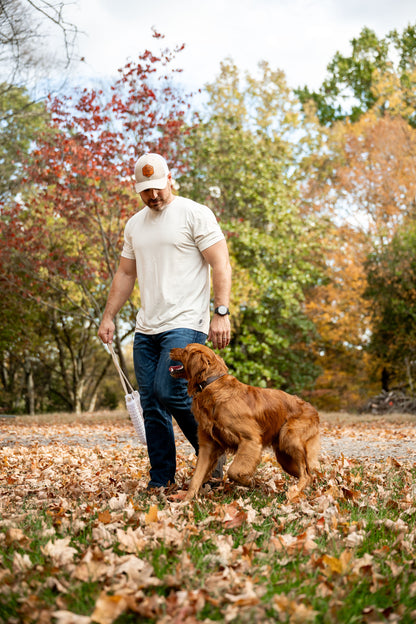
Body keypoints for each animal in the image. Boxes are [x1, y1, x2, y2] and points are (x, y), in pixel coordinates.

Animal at [171, 344, 320, 500]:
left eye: (185, 350)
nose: (170, 349)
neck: (212, 384)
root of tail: (312, 409)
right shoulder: (207, 446)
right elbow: (196, 478)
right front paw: (186, 500)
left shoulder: (250, 440)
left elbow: (233, 470)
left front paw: (249, 481)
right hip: (284, 457)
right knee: (309, 475)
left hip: (290, 439)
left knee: (306, 474)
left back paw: (293, 493)